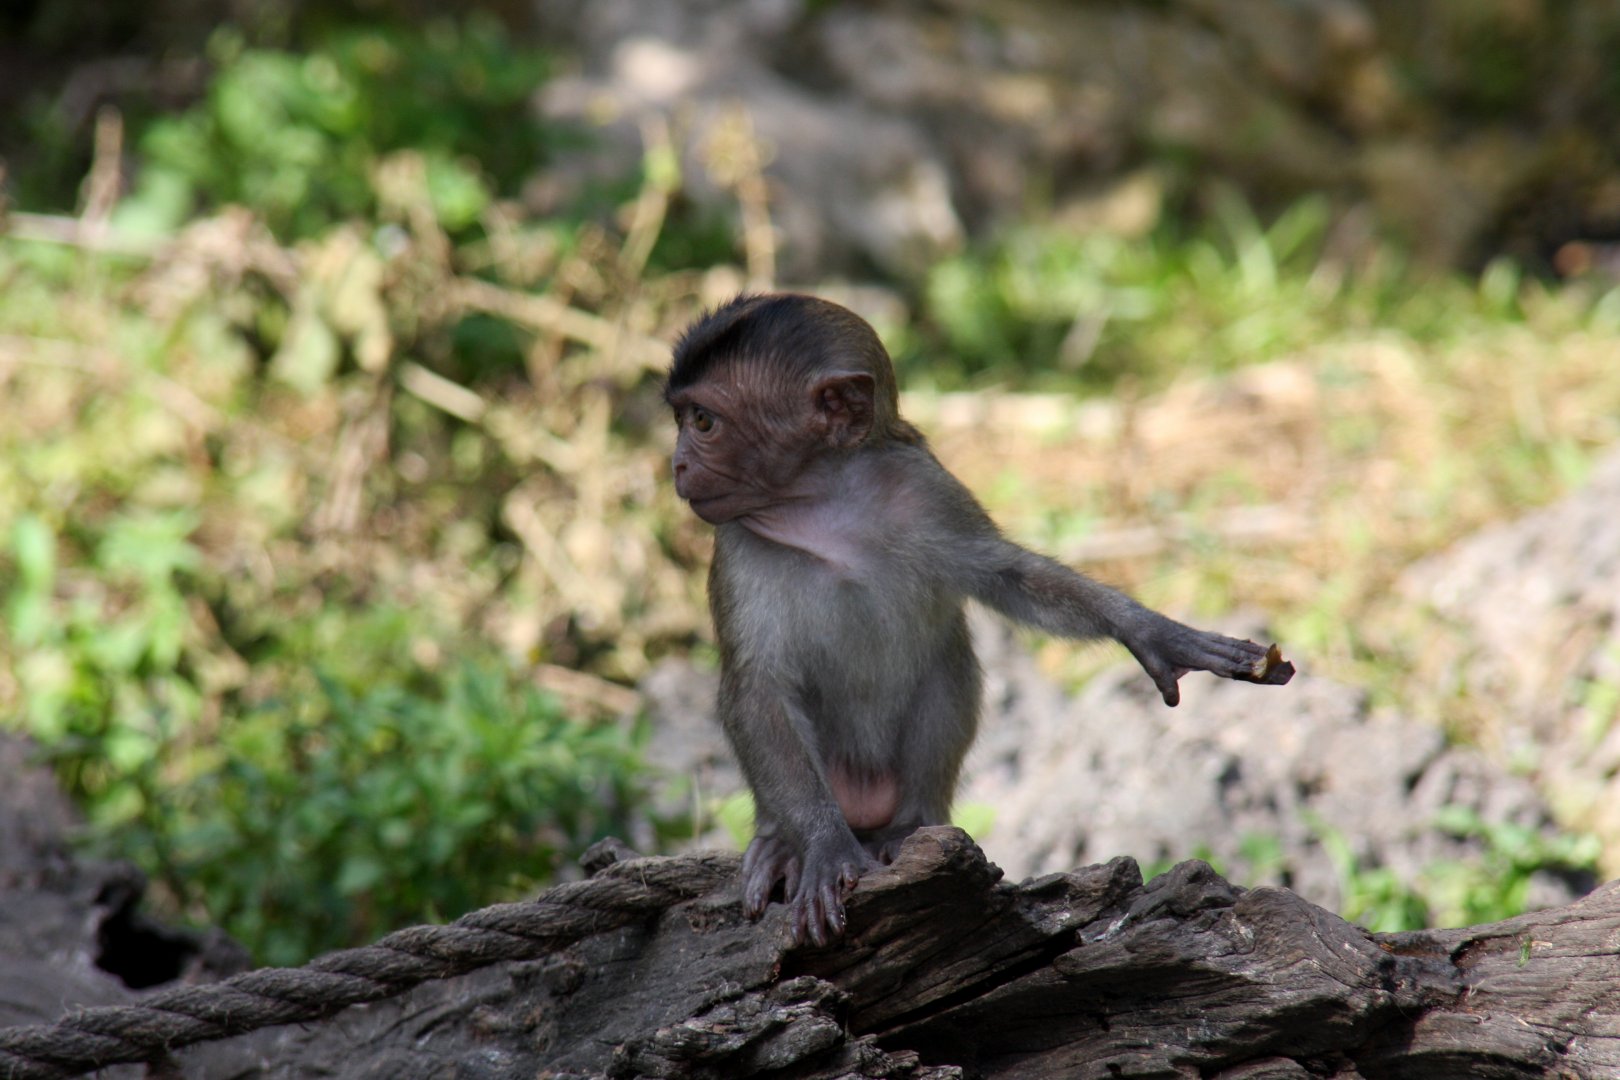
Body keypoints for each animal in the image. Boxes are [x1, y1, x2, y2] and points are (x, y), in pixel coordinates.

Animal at [664, 293, 1294, 947]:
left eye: (703, 422)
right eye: (685, 420)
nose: (677, 465)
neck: (822, 504)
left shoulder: (928, 493)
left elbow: (1009, 575)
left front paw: (1150, 632)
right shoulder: (737, 544)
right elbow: (756, 689)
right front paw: (822, 844)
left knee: (947, 665)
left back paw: (907, 827)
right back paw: (782, 843)